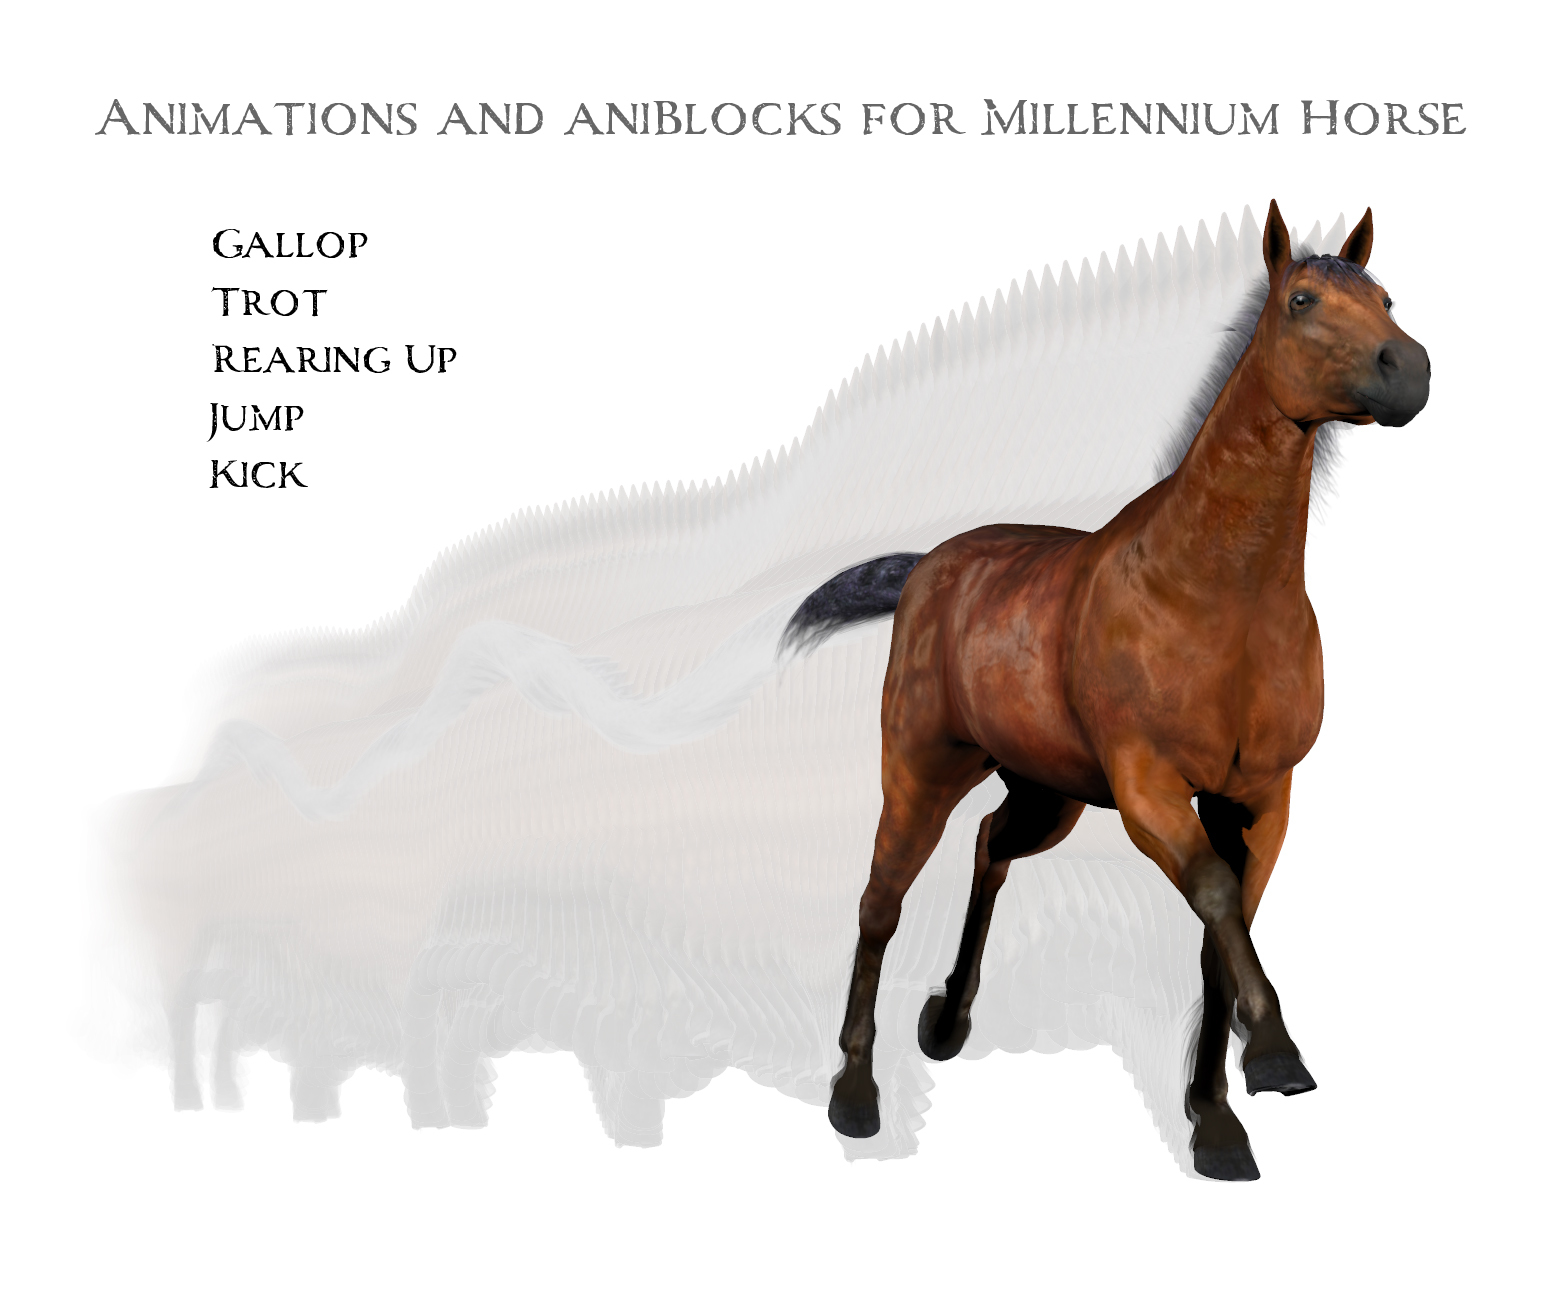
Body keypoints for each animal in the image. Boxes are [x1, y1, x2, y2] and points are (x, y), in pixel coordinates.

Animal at [783, 201, 1430, 1180]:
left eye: (1386, 297)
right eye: (1302, 300)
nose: (1412, 370)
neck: (1217, 594)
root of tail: (930, 565)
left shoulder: (1261, 798)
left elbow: (1221, 934)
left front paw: (1215, 1121)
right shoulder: (1148, 788)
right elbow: (1214, 898)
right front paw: (1277, 1057)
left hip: (1046, 792)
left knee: (990, 846)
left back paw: (949, 1019)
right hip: (921, 769)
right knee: (879, 900)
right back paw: (855, 1096)